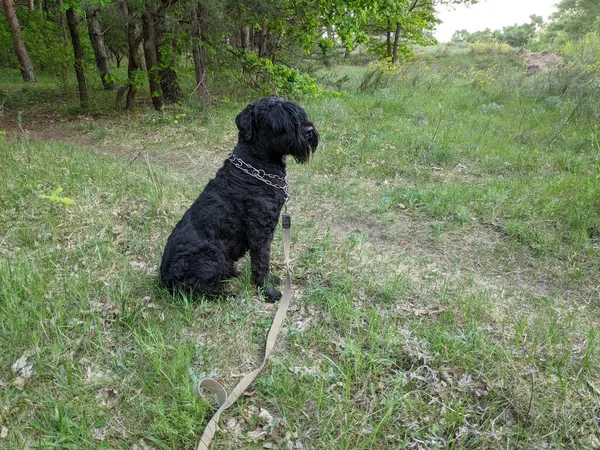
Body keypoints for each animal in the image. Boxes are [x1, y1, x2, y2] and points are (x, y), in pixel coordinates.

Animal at [159, 98, 318, 302]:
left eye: (299, 114)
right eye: (279, 119)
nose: (309, 130)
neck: (256, 165)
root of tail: (163, 280)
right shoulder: (260, 231)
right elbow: (261, 261)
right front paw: (266, 290)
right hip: (211, 256)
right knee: (196, 289)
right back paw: (227, 294)